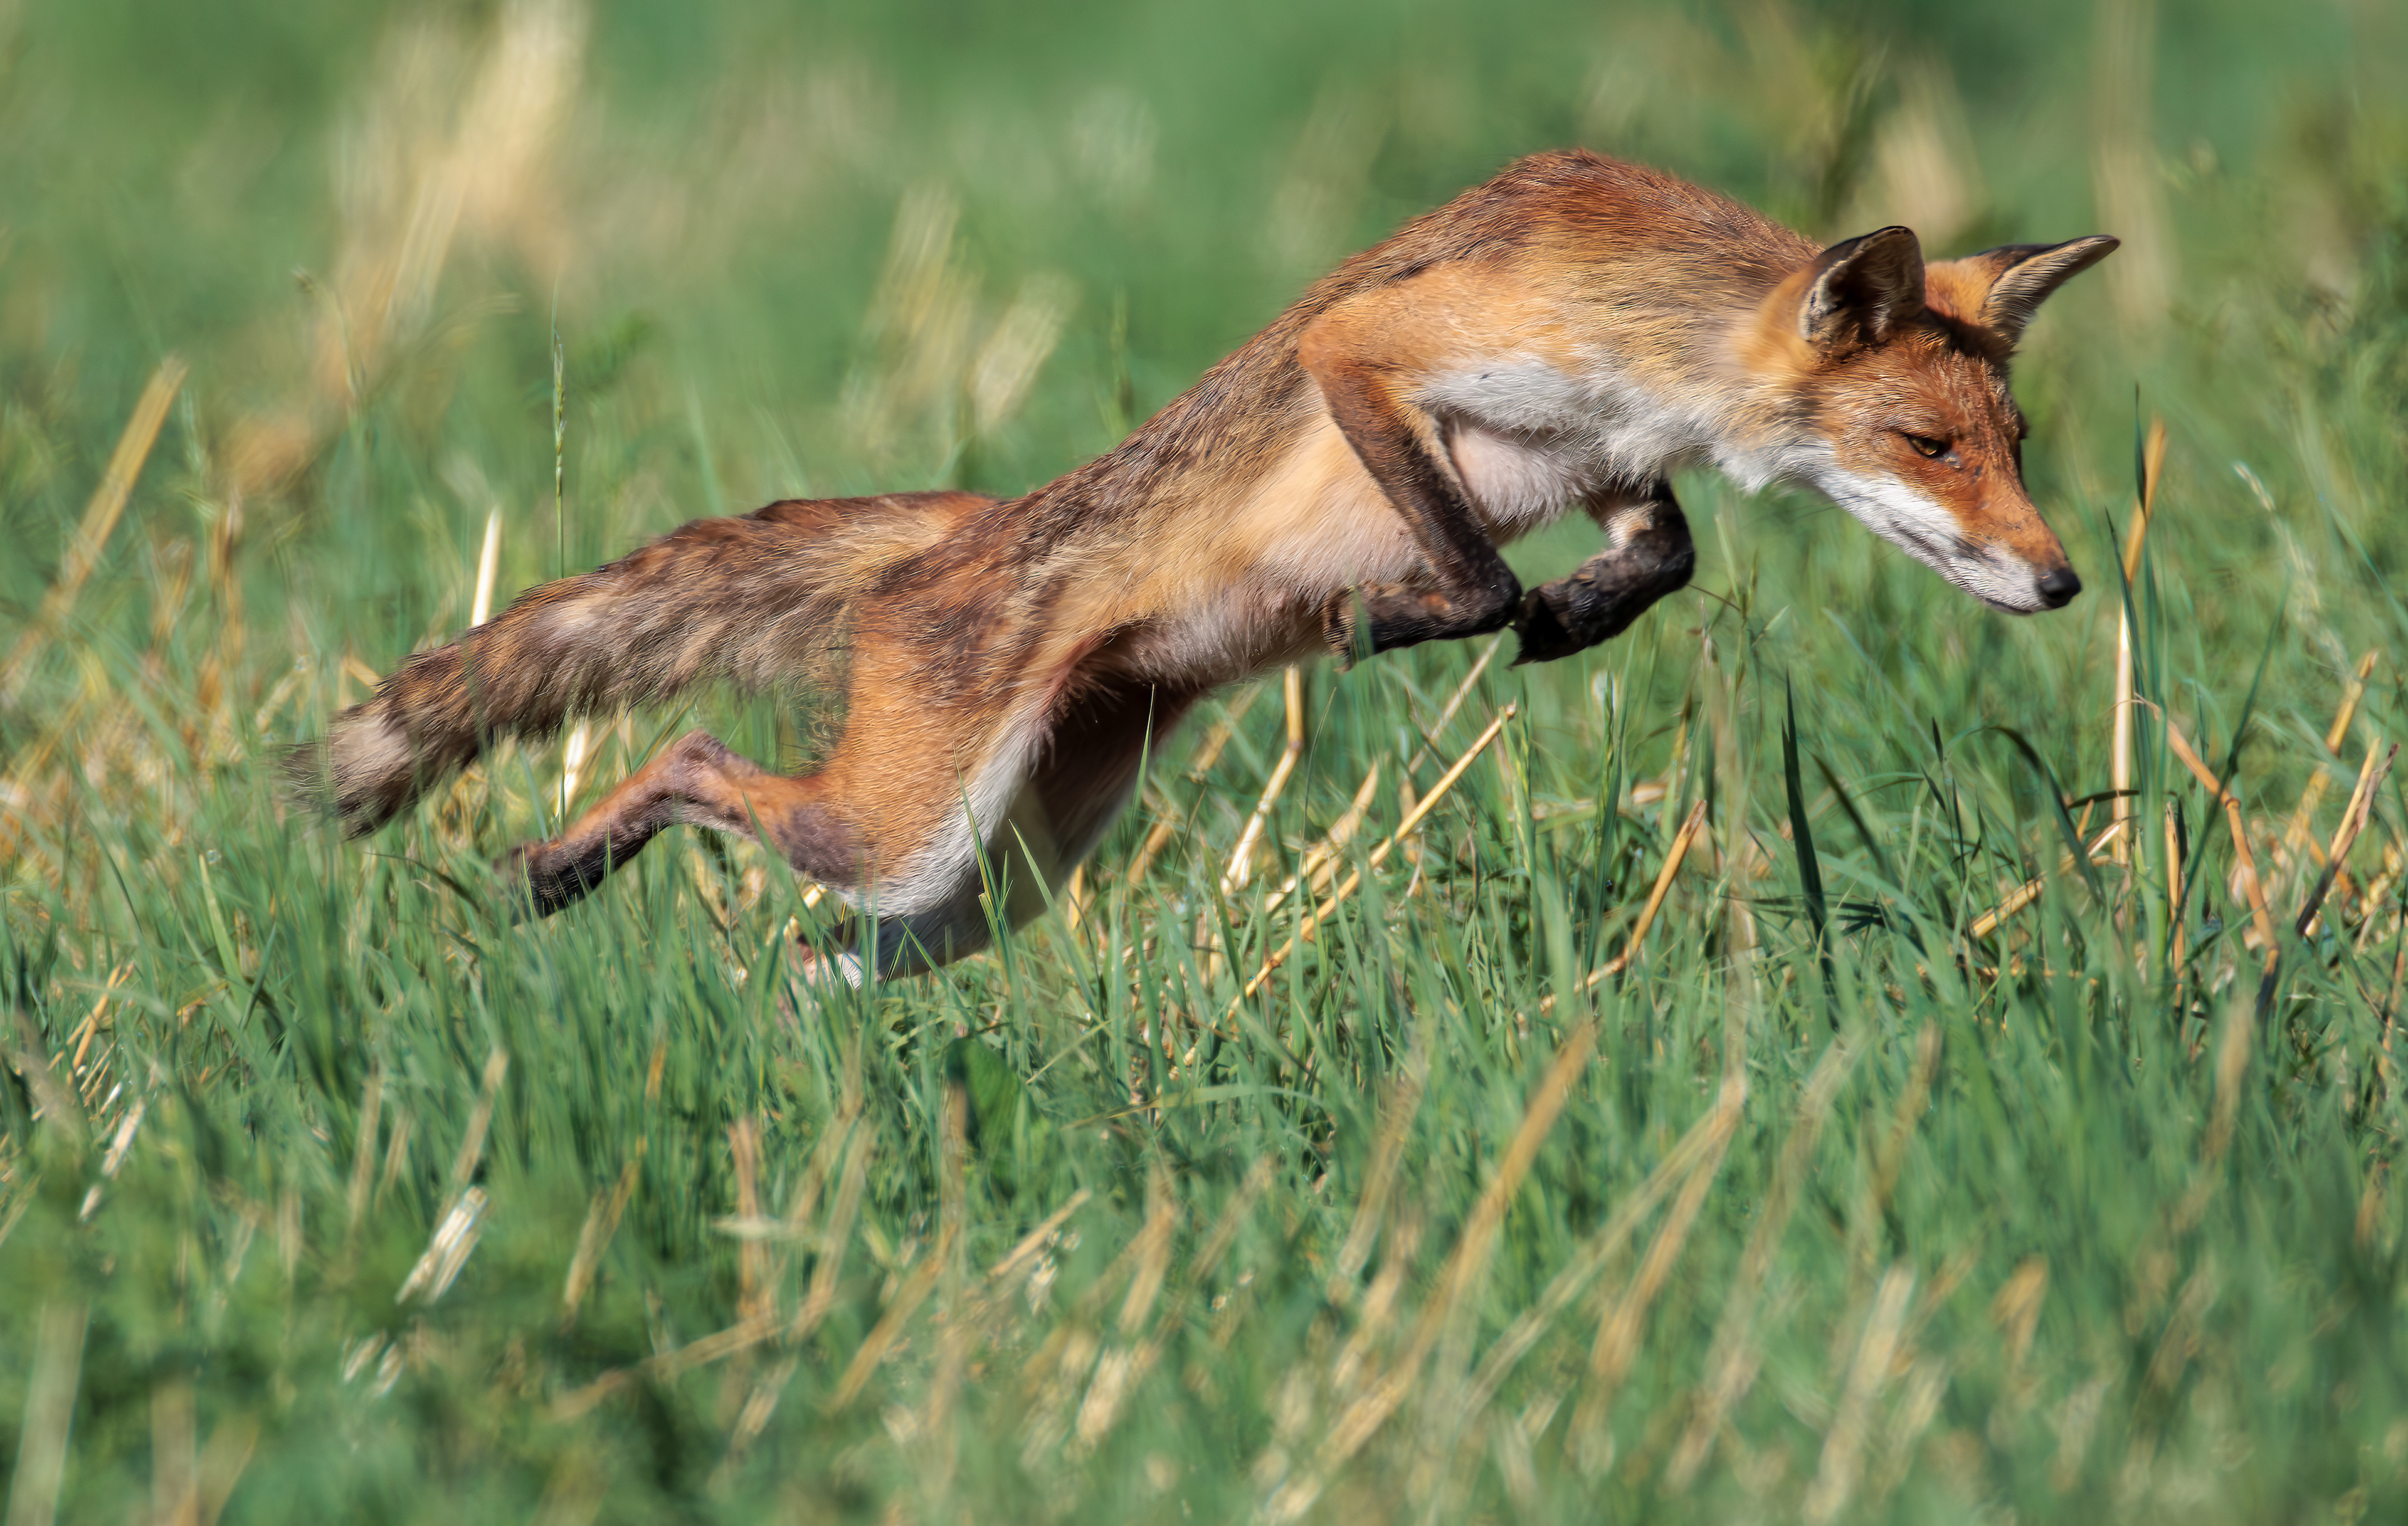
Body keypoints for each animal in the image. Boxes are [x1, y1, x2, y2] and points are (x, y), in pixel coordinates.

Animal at [299, 149, 2115, 980]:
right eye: (1929, 448)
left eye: (2018, 446)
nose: (2058, 585)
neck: (1649, 315)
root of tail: (963, 526)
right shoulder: (1370, 352)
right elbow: (1472, 570)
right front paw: (1415, 617)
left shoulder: (1603, 466)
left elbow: (1656, 556)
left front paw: (1574, 620)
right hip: (903, 833)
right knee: (684, 755)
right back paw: (557, 866)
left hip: (985, 885)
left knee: (818, 952)